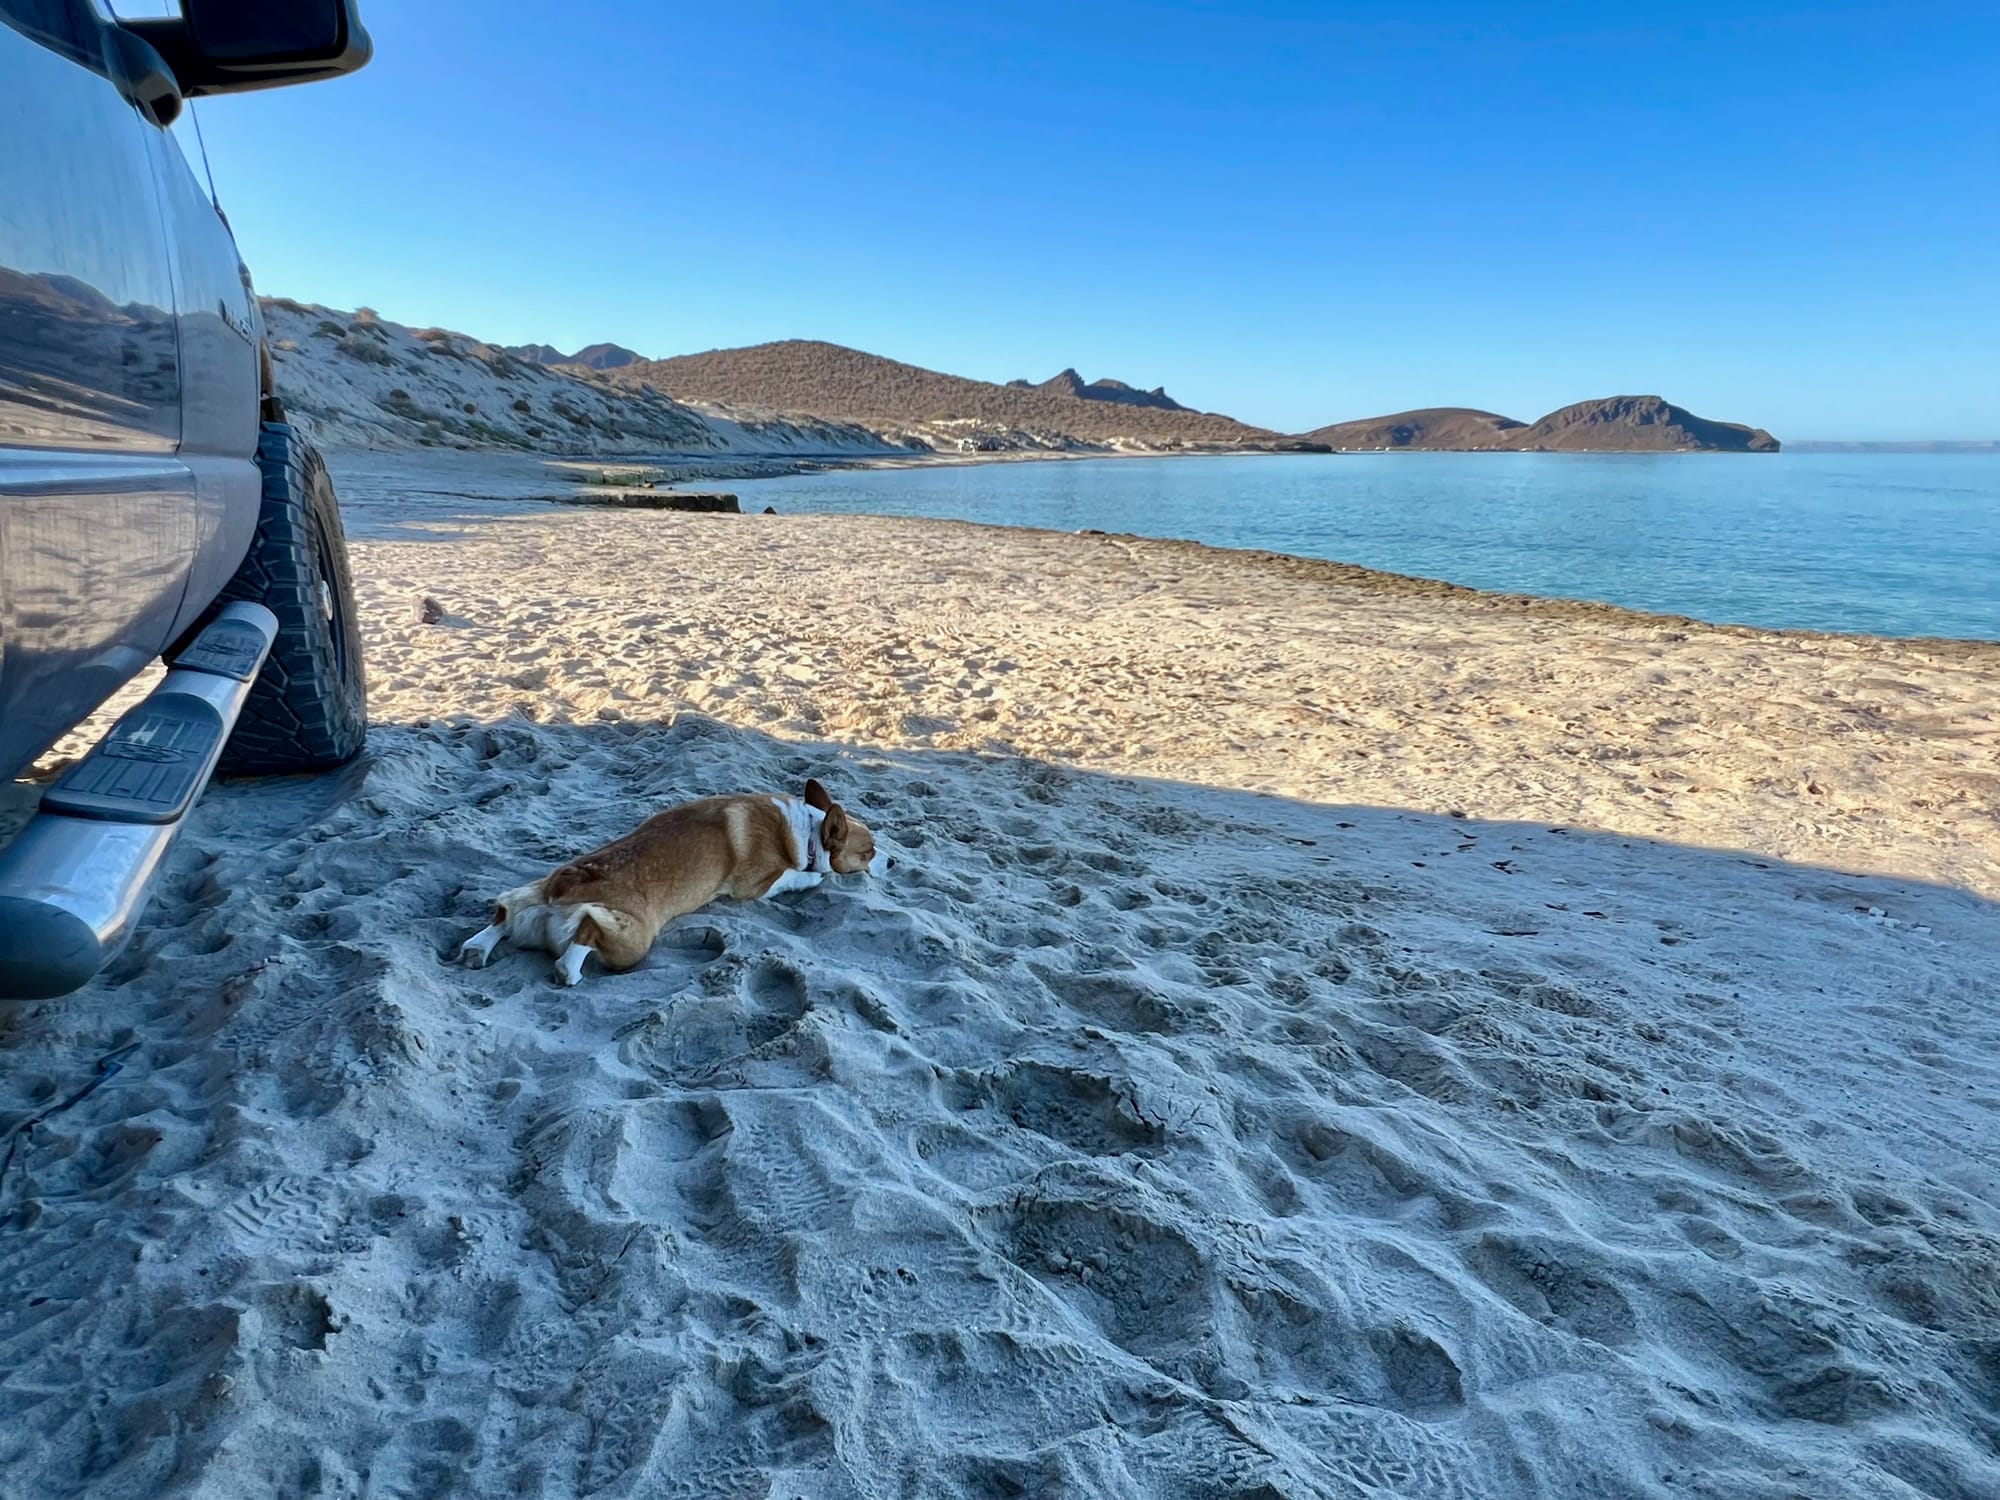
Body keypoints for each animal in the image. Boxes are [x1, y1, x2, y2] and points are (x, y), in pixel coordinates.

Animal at [458, 778, 884, 986]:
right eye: (870, 851)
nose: (894, 860)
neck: (808, 830)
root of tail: (564, 886)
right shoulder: (756, 885)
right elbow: (799, 876)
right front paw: (815, 877)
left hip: (530, 897)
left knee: (503, 915)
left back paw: (476, 949)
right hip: (632, 940)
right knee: (587, 934)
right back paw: (569, 971)